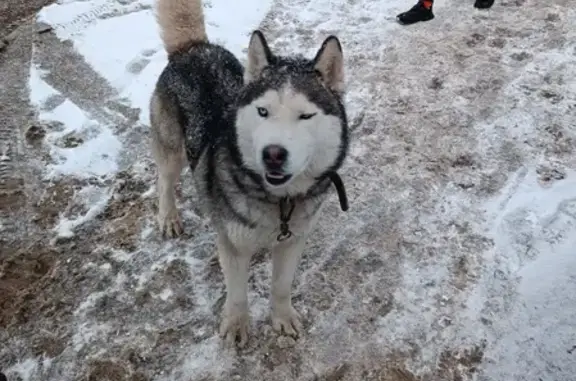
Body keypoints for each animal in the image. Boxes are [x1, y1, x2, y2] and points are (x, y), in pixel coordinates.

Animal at [151, 0, 348, 348]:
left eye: (305, 115)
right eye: (263, 111)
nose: (272, 154)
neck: (279, 202)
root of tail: (194, 48)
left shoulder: (293, 240)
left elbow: (281, 286)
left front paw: (281, 318)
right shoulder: (233, 245)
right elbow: (237, 292)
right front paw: (236, 324)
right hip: (172, 149)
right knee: (165, 180)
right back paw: (169, 216)